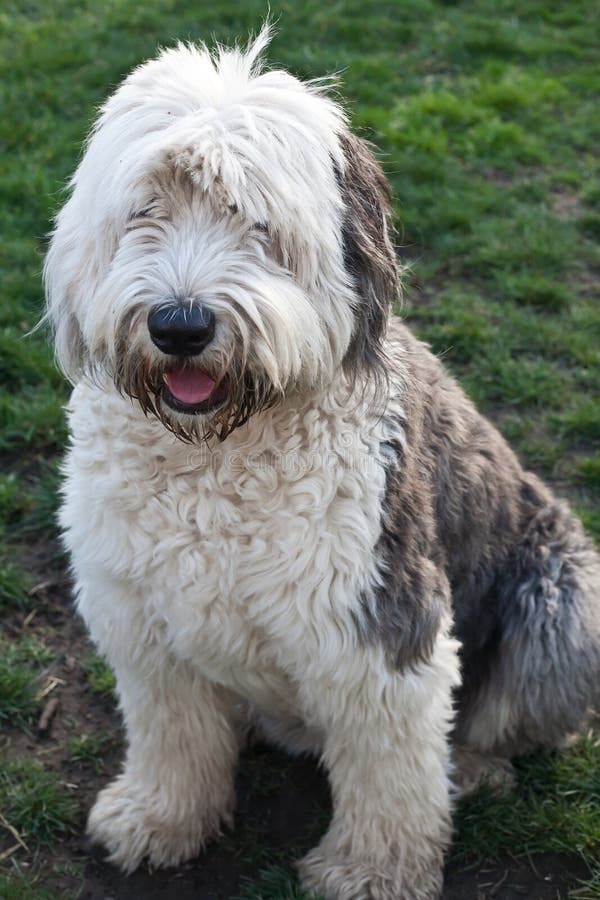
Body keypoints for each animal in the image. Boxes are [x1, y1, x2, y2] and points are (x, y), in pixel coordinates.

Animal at [44, 28, 600, 900]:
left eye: (257, 222)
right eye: (146, 211)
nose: (179, 325)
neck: (218, 457)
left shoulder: (374, 620)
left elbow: (389, 768)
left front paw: (371, 871)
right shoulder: (140, 620)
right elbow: (172, 735)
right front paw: (157, 819)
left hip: (563, 601)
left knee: (514, 717)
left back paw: (475, 769)